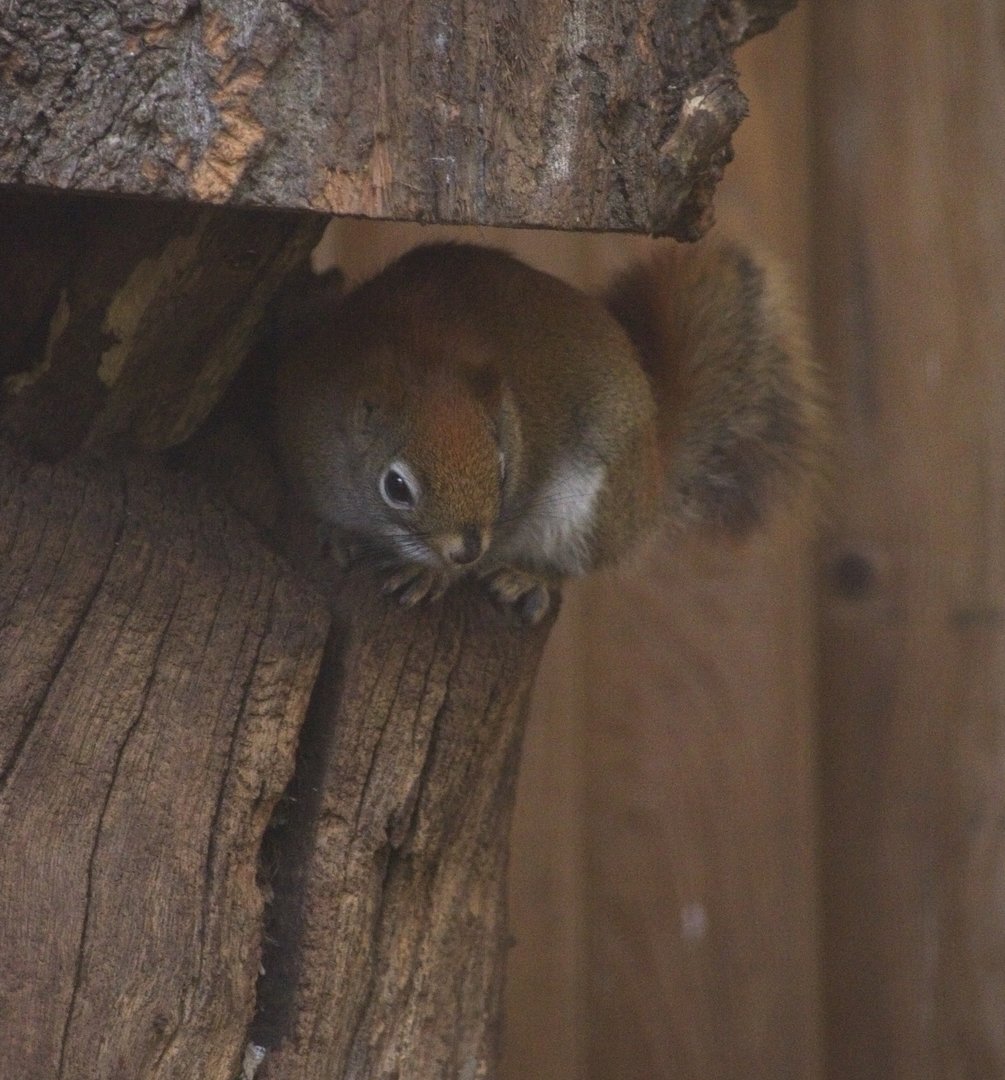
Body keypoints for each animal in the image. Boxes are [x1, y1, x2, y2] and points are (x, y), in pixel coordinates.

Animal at [274, 239, 818, 624]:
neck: (417, 356)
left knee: (573, 565)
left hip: (589, 511)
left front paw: (431, 574)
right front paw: (338, 534)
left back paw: (526, 578)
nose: (466, 549)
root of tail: (650, 483)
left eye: (502, 470)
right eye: (396, 486)